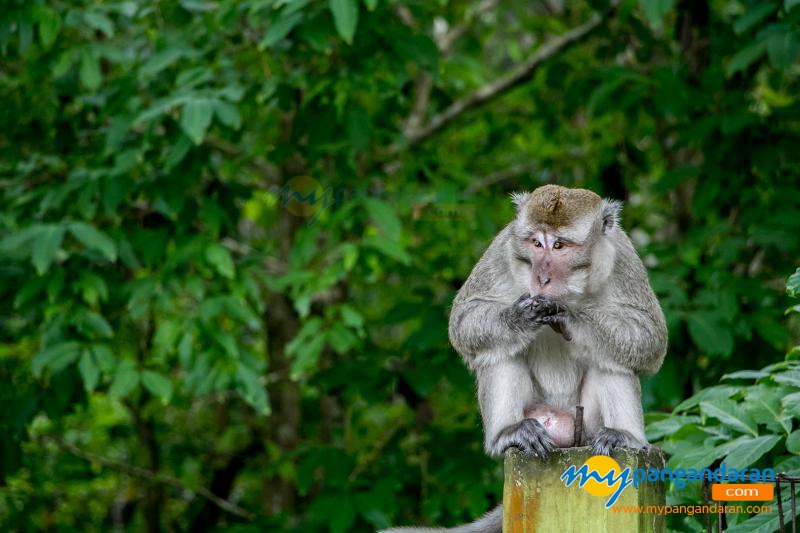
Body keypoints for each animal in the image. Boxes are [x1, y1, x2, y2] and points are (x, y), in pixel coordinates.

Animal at [382, 185, 668, 532]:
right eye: (536, 243)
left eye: (559, 246)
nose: (542, 277)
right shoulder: (504, 248)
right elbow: (466, 318)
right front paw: (518, 318)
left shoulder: (623, 257)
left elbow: (649, 338)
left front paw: (569, 316)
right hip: (537, 414)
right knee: (501, 352)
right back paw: (509, 432)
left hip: (586, 425)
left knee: (611, 360)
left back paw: (625, 438)